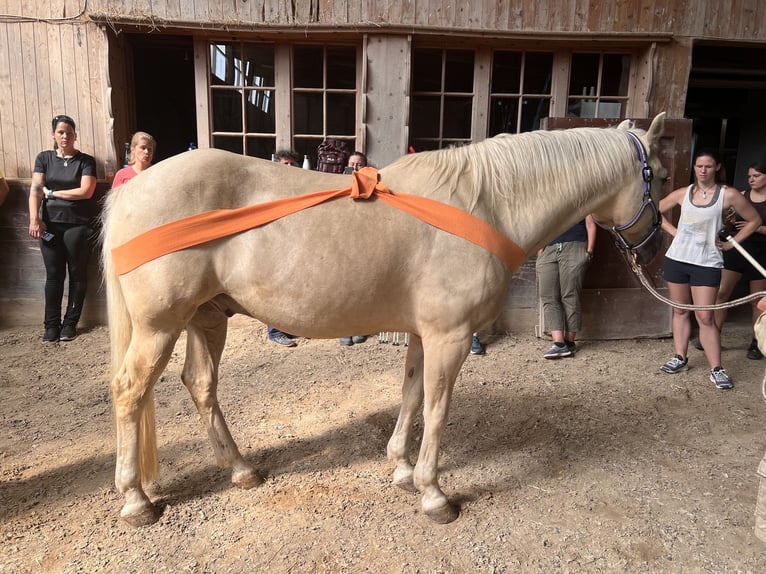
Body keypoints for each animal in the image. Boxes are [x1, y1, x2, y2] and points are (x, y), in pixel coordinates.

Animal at [101, 113, 667, 526]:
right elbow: (436, 409)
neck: (485, 205)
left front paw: (400, 466)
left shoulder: (424, 334)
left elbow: (412, 395)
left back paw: (240, 470)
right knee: (131, 390)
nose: (656, 248)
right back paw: (135, 500)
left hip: (206, 317)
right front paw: (433, 493)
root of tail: (133, 189)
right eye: (658, 176)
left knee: (200, 384)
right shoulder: (450, 337)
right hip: (159, 326)